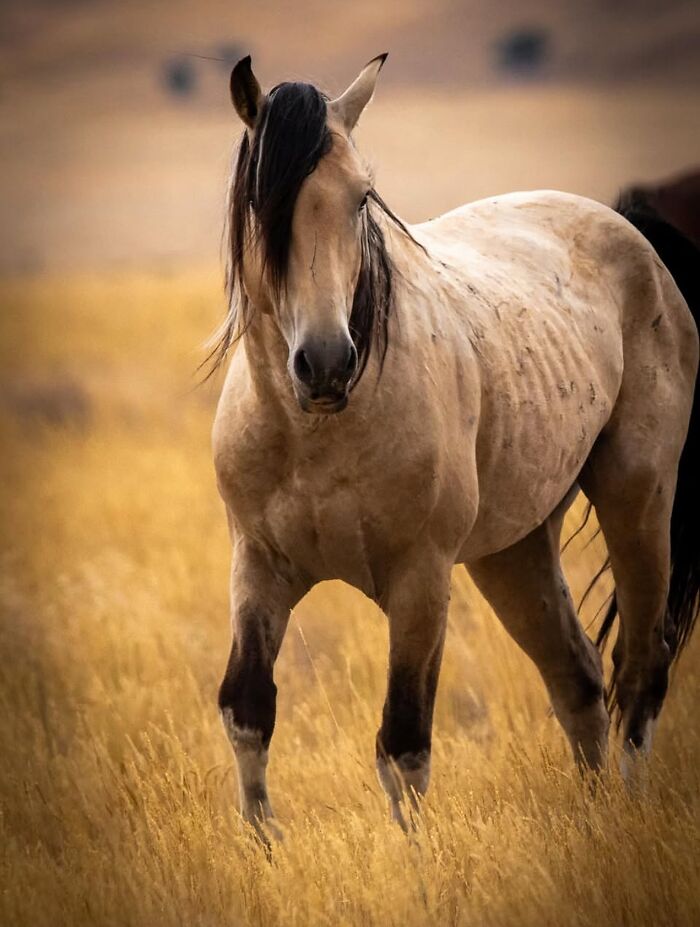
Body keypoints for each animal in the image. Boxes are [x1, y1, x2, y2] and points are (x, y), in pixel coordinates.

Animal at [211, 54, 700, 839]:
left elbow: (405, 743)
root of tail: (630, 232)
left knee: (639, 672)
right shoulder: (258, 567)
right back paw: (594, 826)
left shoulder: (421, 579)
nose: (326, 363)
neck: (318, 431)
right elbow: (248, 713)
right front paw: (262, 847)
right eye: (264, 203)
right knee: (577, 678)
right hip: (516, 550)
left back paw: (627, 819)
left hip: (638, 502)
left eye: (361, 197)